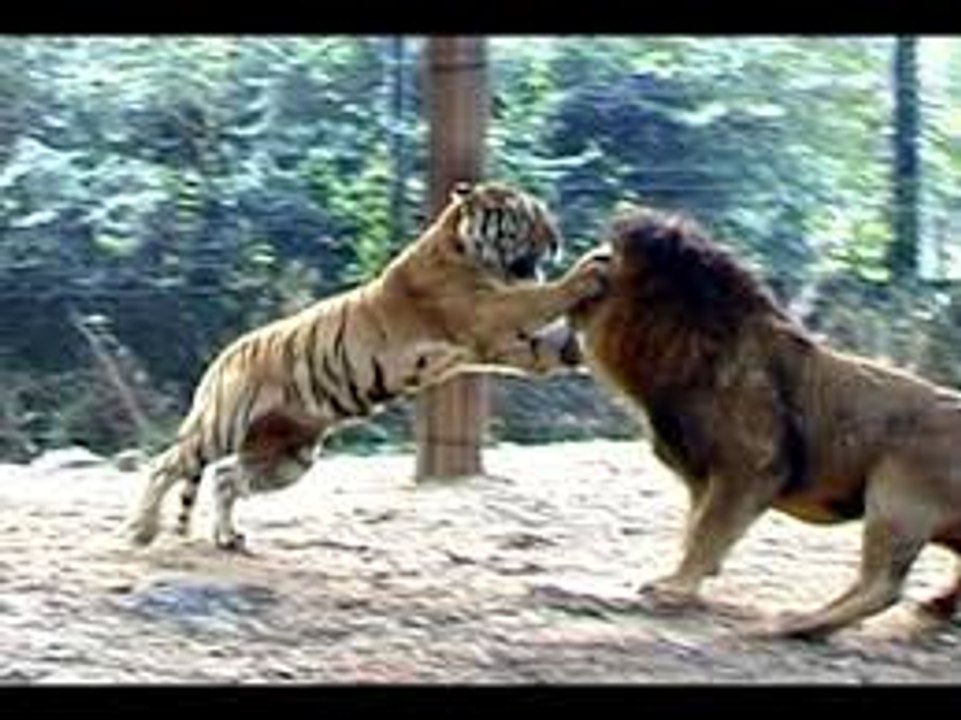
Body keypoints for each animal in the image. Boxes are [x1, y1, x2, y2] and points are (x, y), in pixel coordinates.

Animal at [126, 181, 608, 552]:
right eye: (526, 216)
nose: (556, 240)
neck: (461, 245)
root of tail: (221, 358)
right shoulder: (487, 313)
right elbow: (541, 295)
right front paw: (591, 269)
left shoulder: (507, 344)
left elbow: (554, 340)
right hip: (222, 425)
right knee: (165, 464)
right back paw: (142, 530)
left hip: (286, 456)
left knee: (226, 477)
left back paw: (227, 538)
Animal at [569, 205, 961, 640]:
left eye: (610, 256)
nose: (590, 256)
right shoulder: (701, 474)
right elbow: (695, 527)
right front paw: (689, 578)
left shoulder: (752, 466)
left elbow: (708, 530)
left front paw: (674, 589)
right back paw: (933, 608)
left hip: (896, 493)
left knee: (882, 587)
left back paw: (795, 623)